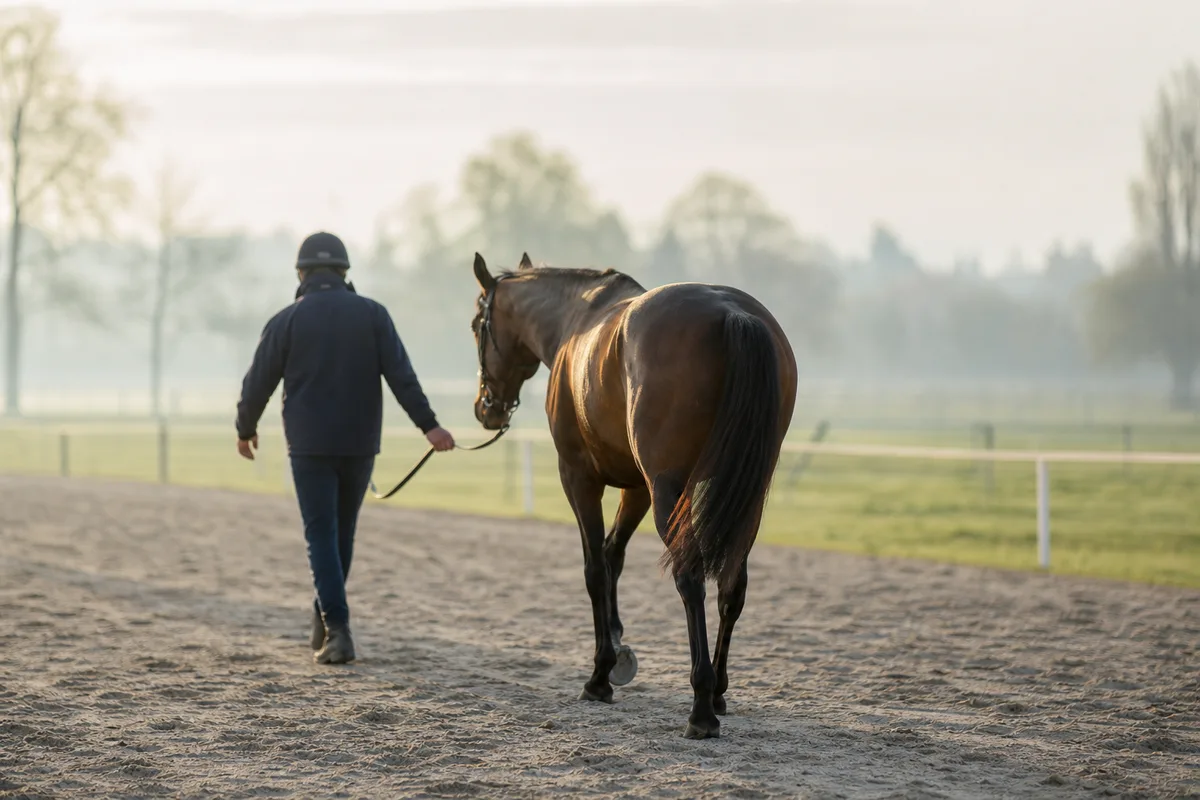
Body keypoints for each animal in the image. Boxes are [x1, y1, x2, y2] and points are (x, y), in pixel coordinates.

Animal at [469, 252, 797, 739]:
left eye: (478, 324)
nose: (485, 408)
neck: (576, 319)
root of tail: (732, 313)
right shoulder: (637, 487)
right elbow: (613, 556)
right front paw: (618, 648)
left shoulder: (580, 478)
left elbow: (594, 569)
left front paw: (600, 675)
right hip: (746, 496)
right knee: (732, 585)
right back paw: (718, 690)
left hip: (669, 490)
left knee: (690, 577)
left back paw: (701, 709)